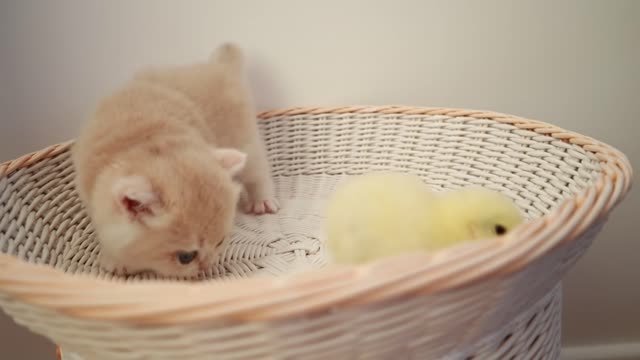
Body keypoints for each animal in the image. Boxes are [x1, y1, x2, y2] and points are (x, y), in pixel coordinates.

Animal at [72, 43, 278, 278]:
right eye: (186, 257)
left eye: (220, 242)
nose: (207, 266)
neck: (147, 140)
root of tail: (217, 66)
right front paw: (115, 259)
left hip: (244, 139)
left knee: (257, 172)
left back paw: (262, 200)